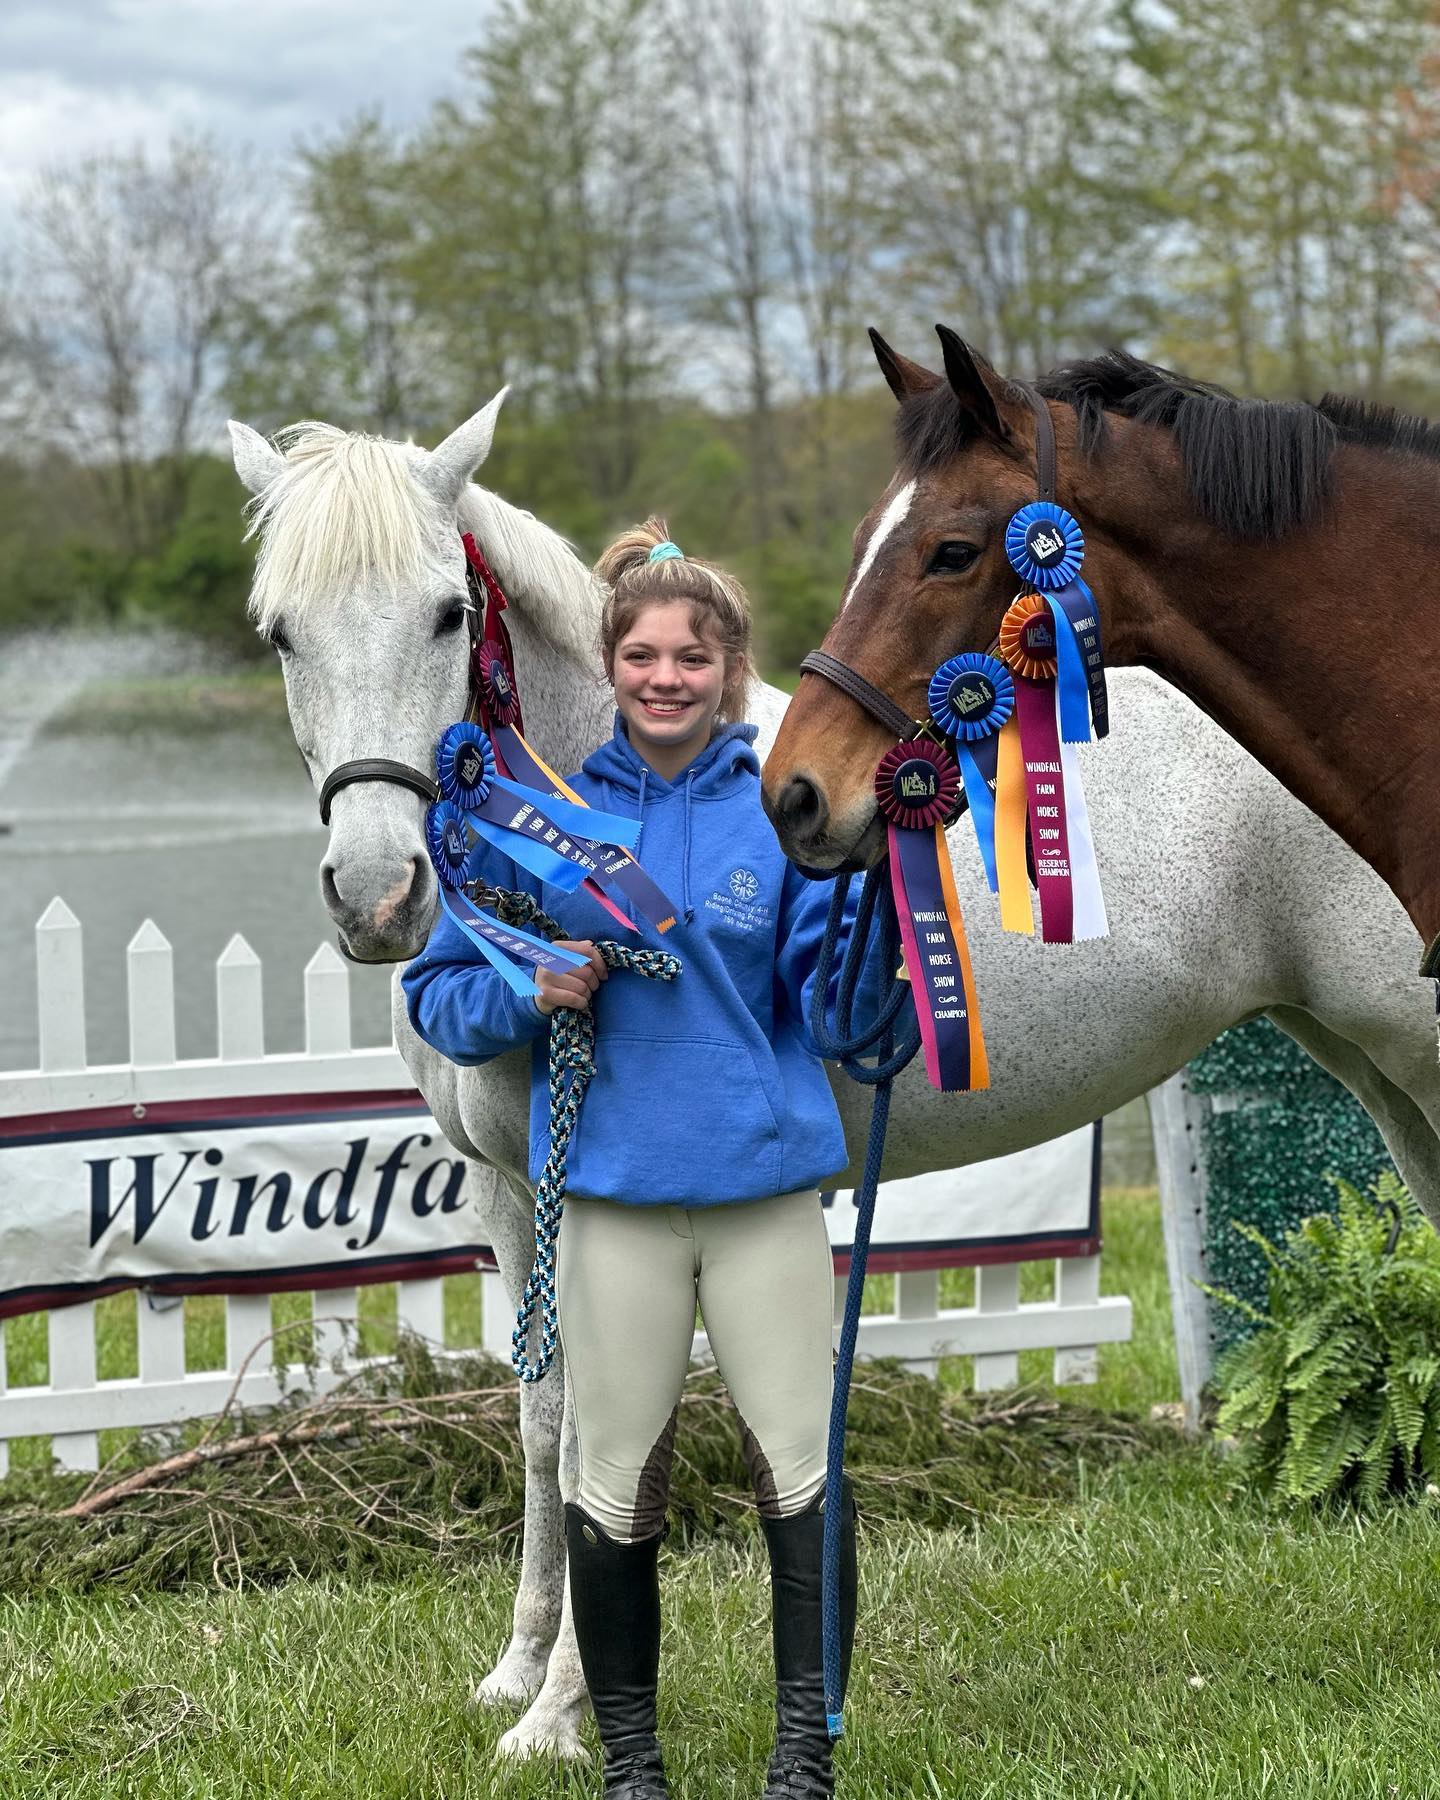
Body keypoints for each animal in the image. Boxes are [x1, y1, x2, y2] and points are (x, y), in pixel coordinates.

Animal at [228, 394, 1440, 1764]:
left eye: (445, 612)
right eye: (279, 631)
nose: (377, 894)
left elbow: (603, 1430)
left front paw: (558, 1715)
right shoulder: (508, 1193)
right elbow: (543, 1425)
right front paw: (518, 1670)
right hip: (1376, 1070)